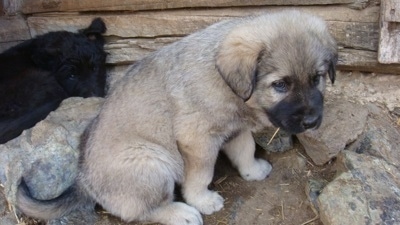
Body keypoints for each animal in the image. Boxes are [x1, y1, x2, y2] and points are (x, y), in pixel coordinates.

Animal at [18, 10, 338, 225]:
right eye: (280, 85)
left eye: (318, 78)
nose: (311, 122)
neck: (229, 85)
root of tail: (84, 180)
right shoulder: (196, 140)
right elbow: (201, 175)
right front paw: (203, 200)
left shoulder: (234, 129)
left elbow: (245, 150)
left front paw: (252, 171)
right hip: (152, 161)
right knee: (141, 211)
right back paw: (181, 213)